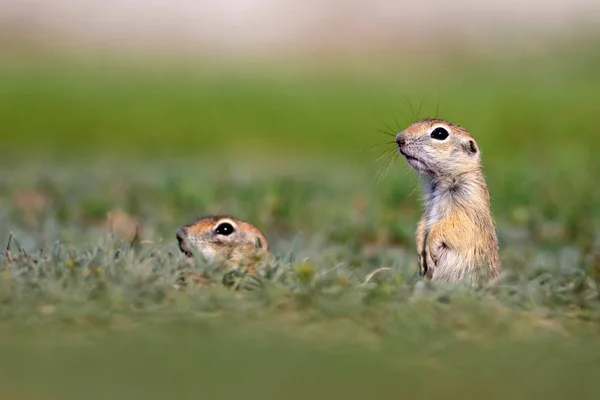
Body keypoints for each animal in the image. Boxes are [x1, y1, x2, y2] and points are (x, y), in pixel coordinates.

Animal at [396, 119, 500, 284]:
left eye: (440, 133)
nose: (399, 139)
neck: (440, 182)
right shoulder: (429, 207)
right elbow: (423, 223)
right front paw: (420, 253)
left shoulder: (469, 202)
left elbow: (456, 226)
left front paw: (430, 246)